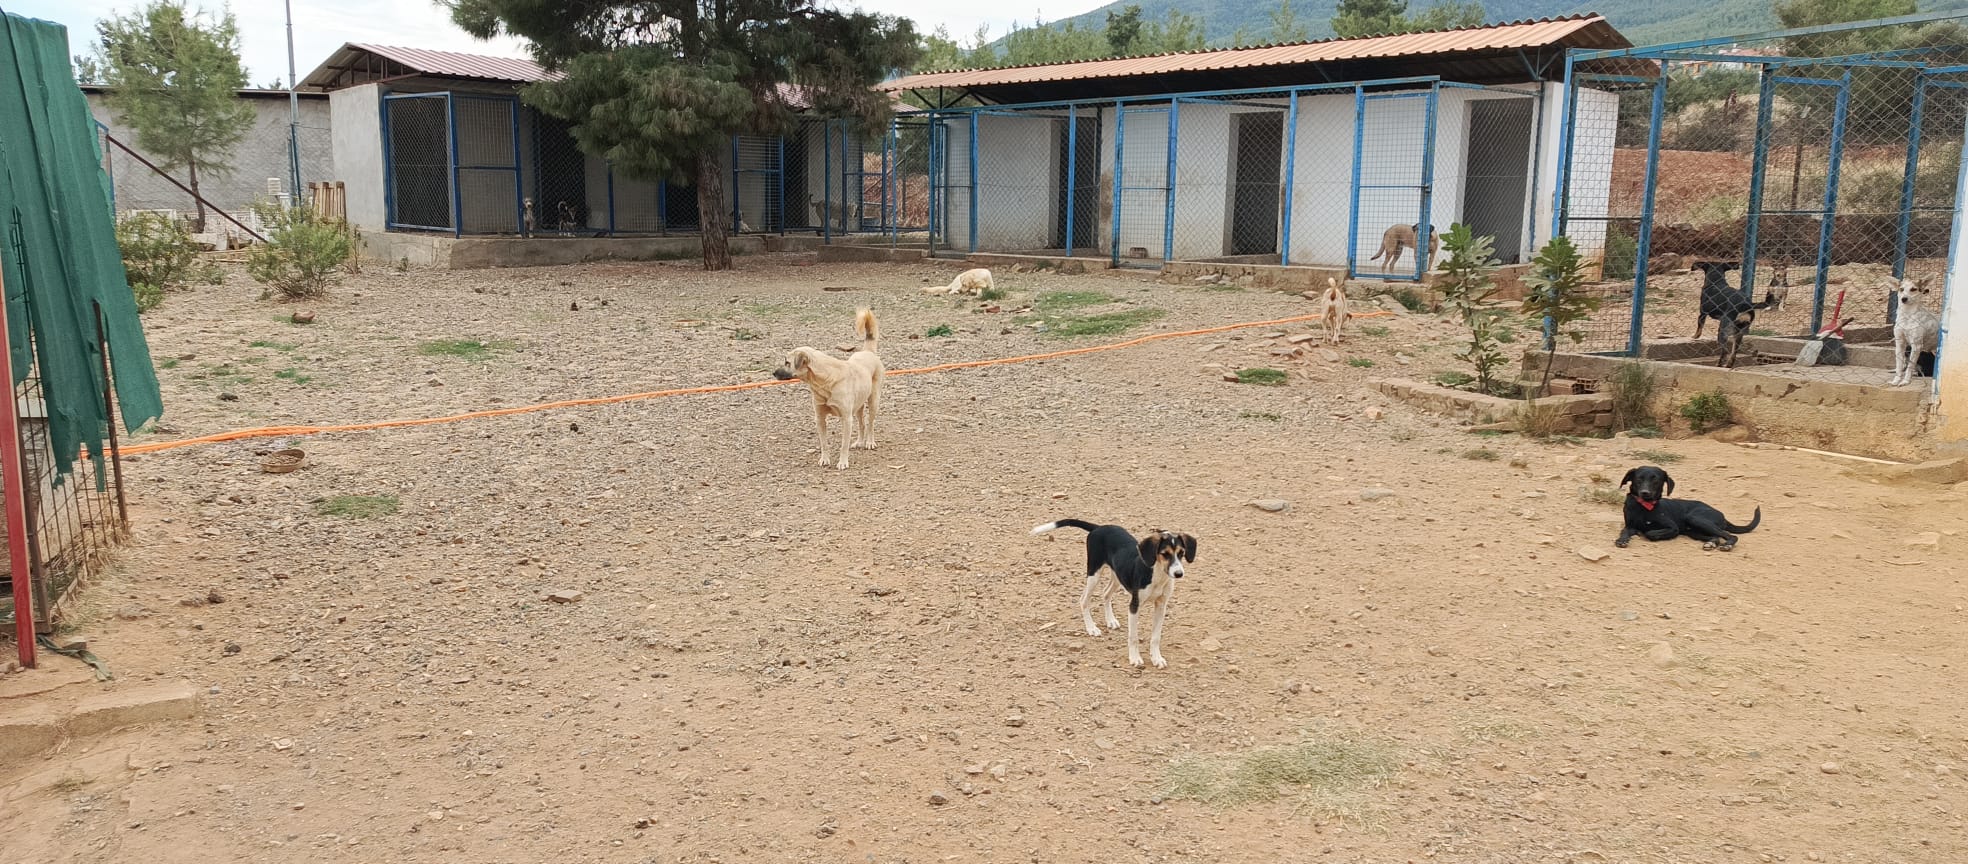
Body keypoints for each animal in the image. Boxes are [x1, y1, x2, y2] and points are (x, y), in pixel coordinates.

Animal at [775, 310, 885, 470]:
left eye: (787, 363)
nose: (773, 373)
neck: (824, 381)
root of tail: (868, 351)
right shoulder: (820, 418)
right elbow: (824, 443)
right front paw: (824, 459)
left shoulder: (846, 418)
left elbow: (843, 445)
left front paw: (843, 462)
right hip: (858, 406)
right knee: (862, 424)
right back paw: (859, 442)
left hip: (873, 402)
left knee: (870, 424)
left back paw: (870, 442)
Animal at [1031, 519, 1196, 669]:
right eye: (1165, 554)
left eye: (1181, 553)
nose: (1179, 573)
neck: (1157, 575)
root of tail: (1098, 527)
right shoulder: (1134, 605)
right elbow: (1133, 637)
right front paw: (1135, 658)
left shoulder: (1161, 606)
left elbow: (1156, 637)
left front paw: (1157, 658)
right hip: (1094, 572)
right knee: (1084, 600)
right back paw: (1091, 628)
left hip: (1117, 575)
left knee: (1105, 593)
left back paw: (1110, 620)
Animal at [1621, 466, 1763, 555]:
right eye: (1639, 479)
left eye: (1656, 481)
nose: (1645, 493)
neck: (1644, 507)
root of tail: (1722, 515)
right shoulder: (1629, 525)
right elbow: (1624, 532)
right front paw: (1622, 540)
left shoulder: (1673, 528)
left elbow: (1650, 533)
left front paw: (1645, 532)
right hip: (1693, 531)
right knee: (1716, 537)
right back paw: (1711, 543)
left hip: (1695, 518)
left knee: (1730, 535)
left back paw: (1727, 545)